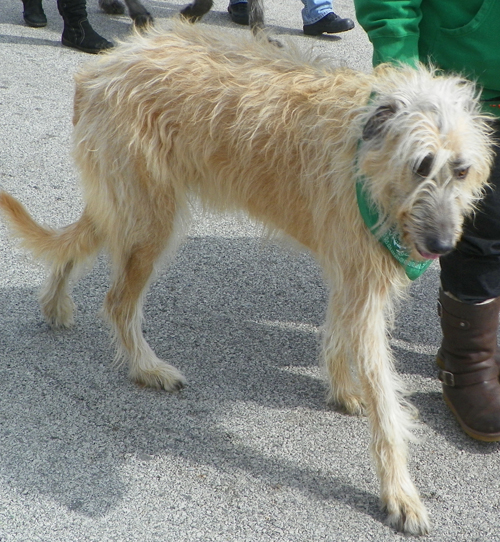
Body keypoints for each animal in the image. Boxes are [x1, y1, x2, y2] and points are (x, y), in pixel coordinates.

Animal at [0, 22, 492, 540]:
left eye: (461, 169)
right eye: (421, 165)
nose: (442, 244)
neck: (365, 155)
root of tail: (101, 68)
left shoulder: (352, 273)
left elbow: (338, 335)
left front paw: (342, 389)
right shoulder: (362, 280)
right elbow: (386, 401)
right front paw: (399, 491)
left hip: (124, 207)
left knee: (76, 245)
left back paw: (55, 305)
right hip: (150, 220)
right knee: (117, 301)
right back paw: (147, 367)